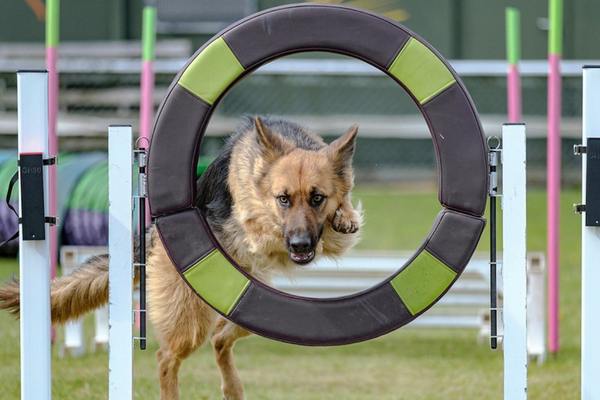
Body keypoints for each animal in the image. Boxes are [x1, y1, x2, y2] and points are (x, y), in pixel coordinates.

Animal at [0, 116, 360, 400]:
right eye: (283, 199)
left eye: (317, 198)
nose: (299, 246)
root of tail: (154, 235)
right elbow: (258, 219)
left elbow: (342, 211)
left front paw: (345, 216)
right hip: (190, 319)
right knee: (166, 357)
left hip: (249, 312)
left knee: (220, 338)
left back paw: (233, 388)